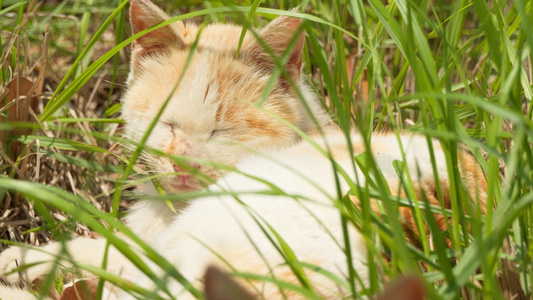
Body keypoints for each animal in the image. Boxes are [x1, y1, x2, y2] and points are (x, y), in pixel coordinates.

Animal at [0, 0, 484, 300]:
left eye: (222, 131)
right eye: (166, 124)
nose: (182, 161)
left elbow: (110, 255)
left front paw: (24, 263)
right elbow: (103, 246)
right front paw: (25, 259)